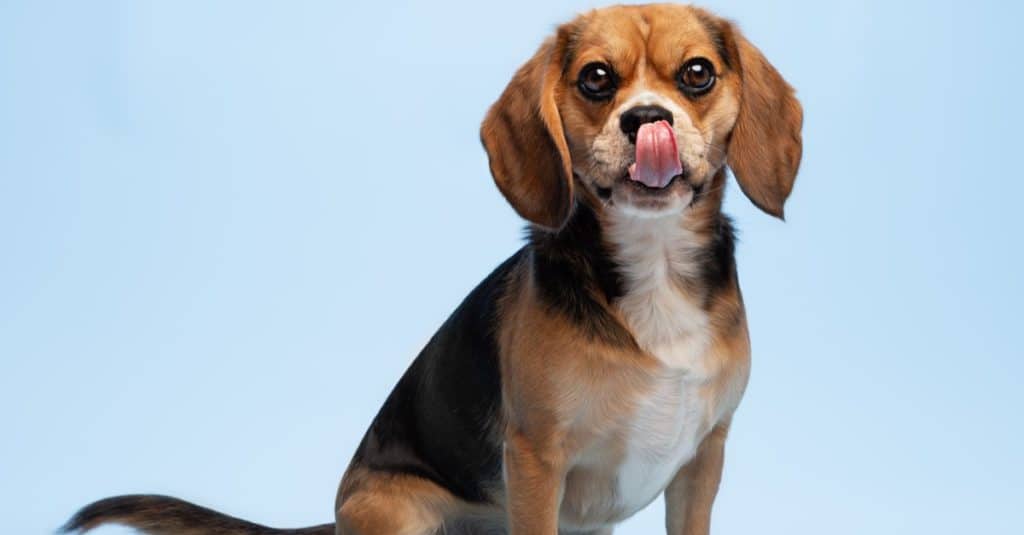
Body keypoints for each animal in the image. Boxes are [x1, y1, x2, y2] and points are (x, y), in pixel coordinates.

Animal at [64, 4, 802, 532]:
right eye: (596, 78)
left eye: (697, 73)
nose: (647, 118)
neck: (653, 262)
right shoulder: (536, 462)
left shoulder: (703, 459)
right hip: (397, 509)